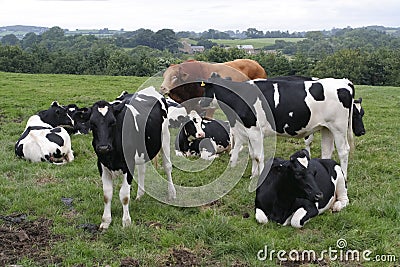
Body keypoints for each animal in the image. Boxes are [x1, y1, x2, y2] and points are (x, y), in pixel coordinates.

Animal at [89, 86, 177, 230]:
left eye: (112, 122)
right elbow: (107, 195)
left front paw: (126, 222)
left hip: (165, 136)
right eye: (92, 123)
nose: (103, 147)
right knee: (142, 170)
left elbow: (124, 195)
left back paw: (172, 193)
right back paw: (140, 195)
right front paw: (106, 221)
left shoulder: (128, 164)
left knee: (167, 167)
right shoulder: (101, 165)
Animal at [200, 74, 360, 181]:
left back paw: (344, 176)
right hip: (327, 128)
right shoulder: (247, 131)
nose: (200, 102)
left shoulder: (254, 131)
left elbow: (258, 156)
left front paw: (260, 176)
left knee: (343, 151)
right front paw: (254, 175)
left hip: (338, 128)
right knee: (327, 151)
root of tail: (344, 81)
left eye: (206, 89)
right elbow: (252, 154)